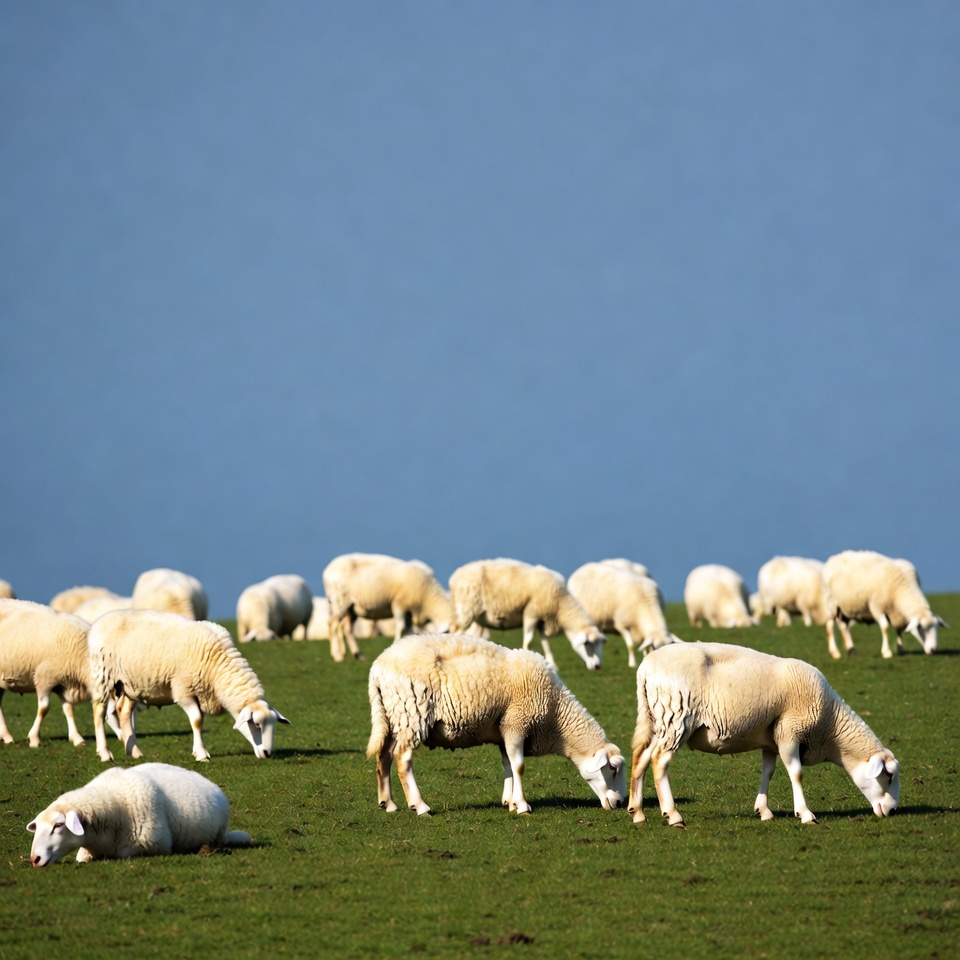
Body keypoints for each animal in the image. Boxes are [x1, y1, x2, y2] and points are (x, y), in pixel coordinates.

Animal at [88, 608, 289, 762]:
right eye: (256, 724)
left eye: (274, 726)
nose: (267, 753)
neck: (217, 665)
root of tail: (101, 620)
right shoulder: (183, 691)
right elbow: (197, 720)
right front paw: (201, 754)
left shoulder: (201, 691)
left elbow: (200, 720)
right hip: (102, 676)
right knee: (99, 712)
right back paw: (105, 754)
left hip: (129, 684)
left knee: (123, 711)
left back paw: (134, 752)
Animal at [323, 552, 454, 662]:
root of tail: (327, 570)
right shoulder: (399, 604)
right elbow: (401, 627)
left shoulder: (409, 613)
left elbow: (409, 631)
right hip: (340, 600)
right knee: (332, 623)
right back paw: (337, 655)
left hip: (352, 608)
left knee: (346, 628)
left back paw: (358, 655)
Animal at [367, 633, 626, 815]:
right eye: (612, 769)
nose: (620, 803)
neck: (555, 715)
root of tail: (377, 667)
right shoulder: (516, 722)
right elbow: (519, 766)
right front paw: (522, 806)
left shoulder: (504, 731)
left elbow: (508, 765)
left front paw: (509, 801)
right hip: (412, 713)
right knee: (403, 759)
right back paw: (419, 806)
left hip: (392, 715)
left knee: (384, 755)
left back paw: (388, 804)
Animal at [449, 558, 606, 671]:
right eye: (587, 644)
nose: (598, 666)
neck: (559, 605)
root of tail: (454, 577)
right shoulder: (532, 613)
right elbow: (529, 640)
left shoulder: (543, 620)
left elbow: (545, 642)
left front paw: (552, 664)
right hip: (467, 611)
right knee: (455, 633)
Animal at [628, 641, 900, 826]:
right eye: (888, 776)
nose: (893, 811)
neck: (830, 727)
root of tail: (645, 668)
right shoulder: (790, 731)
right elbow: (796, 773)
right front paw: (805, 814)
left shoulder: (771, 740)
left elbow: (768, 772)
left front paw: (764, 811)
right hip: (677, 717)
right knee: (659, 761)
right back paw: (673, 815)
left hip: (658, 720)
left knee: (641, 758)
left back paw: (637, 812)